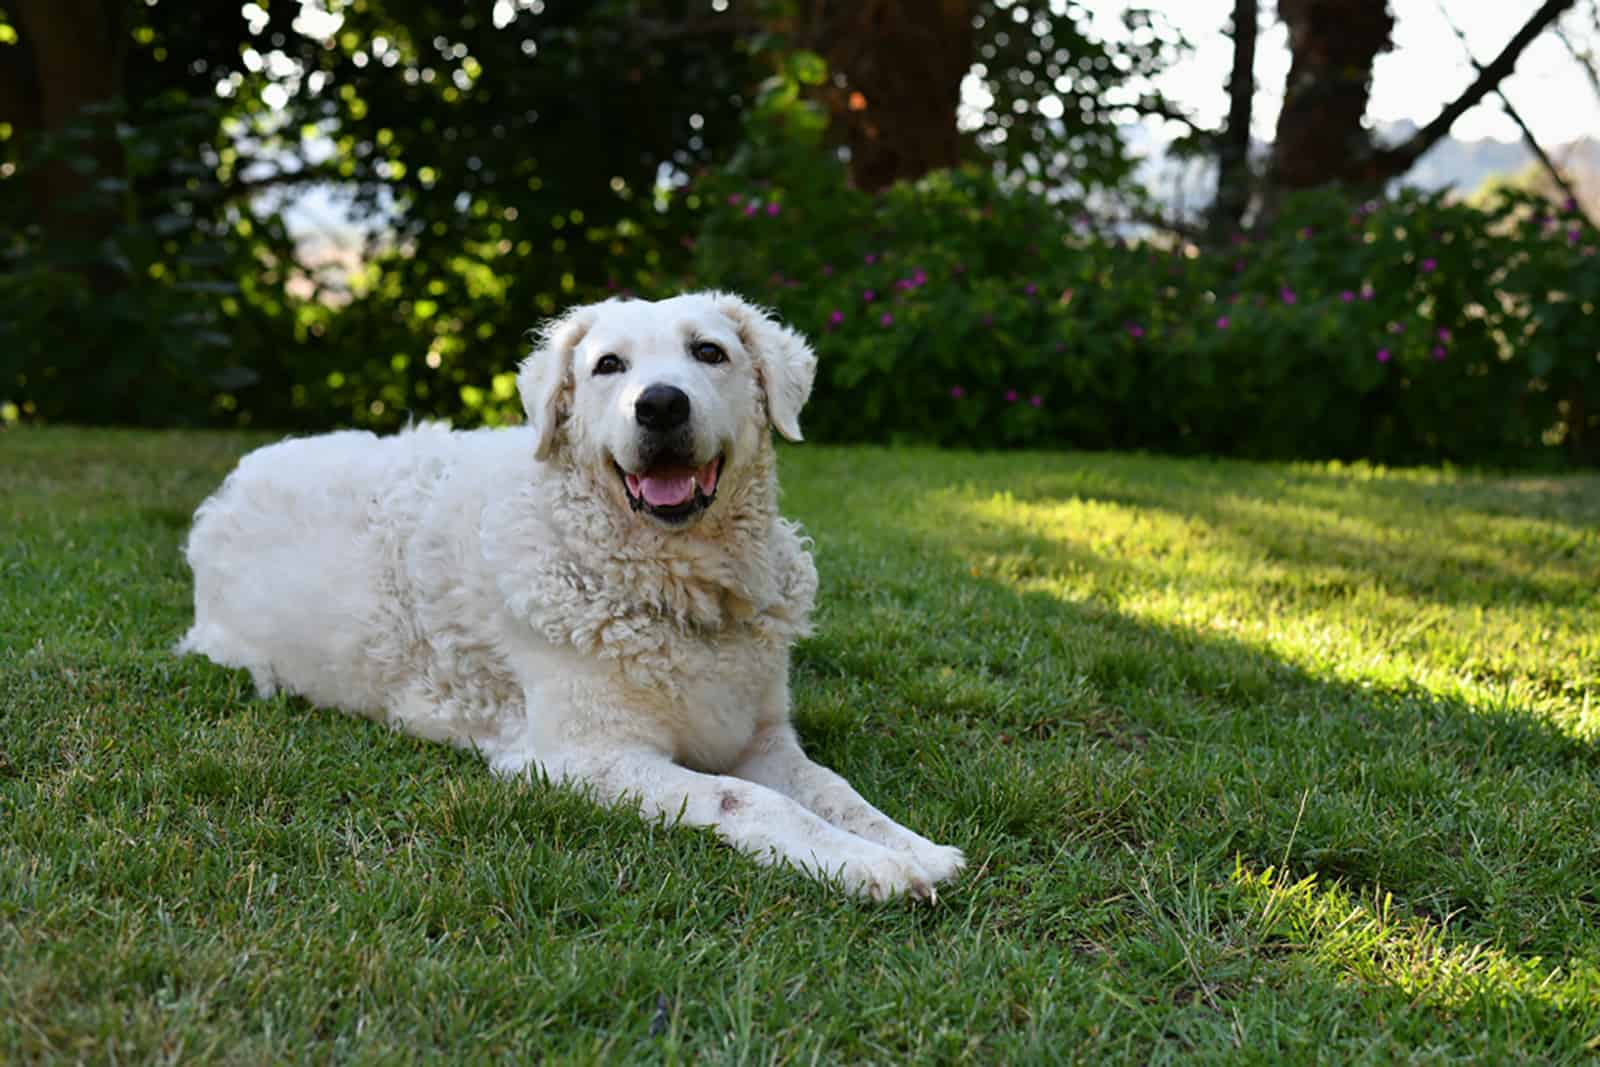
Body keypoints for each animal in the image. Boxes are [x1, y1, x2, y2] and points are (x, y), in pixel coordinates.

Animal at [181, 289, 966, 902]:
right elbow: (752, 798)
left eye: (709, 352)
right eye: (608, 366)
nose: (660, 405)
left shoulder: (761, 733)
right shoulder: (587, 758)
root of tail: (234, 480)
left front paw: (909, 845)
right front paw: (865, 865)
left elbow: (832, 789)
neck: (678, 586)